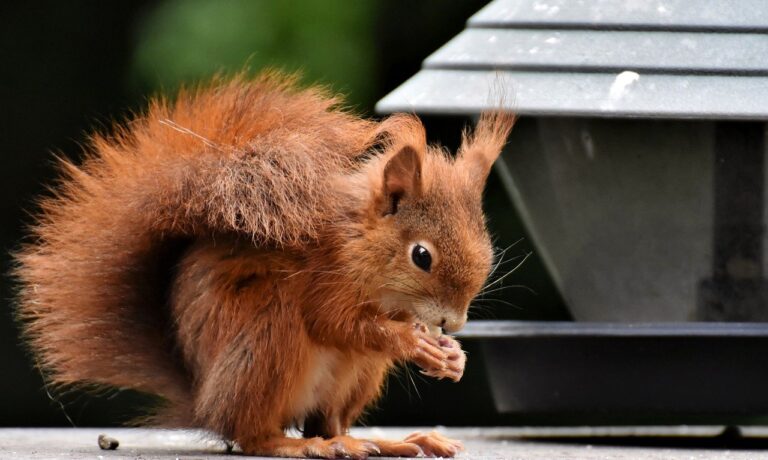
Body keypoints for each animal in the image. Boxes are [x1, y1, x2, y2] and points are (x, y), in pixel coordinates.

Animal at [14, 71, 515, 458]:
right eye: (421, 256)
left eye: (487, 250)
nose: (453, 322)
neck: (360, 242)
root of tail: (204, 399)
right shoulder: (323, 275)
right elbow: (336, 322)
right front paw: (414, 342)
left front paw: (452, 357)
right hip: (269, 339)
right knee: (253, 434)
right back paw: (297, 444)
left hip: (357, 377)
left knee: (328, 423)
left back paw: (386, 442)